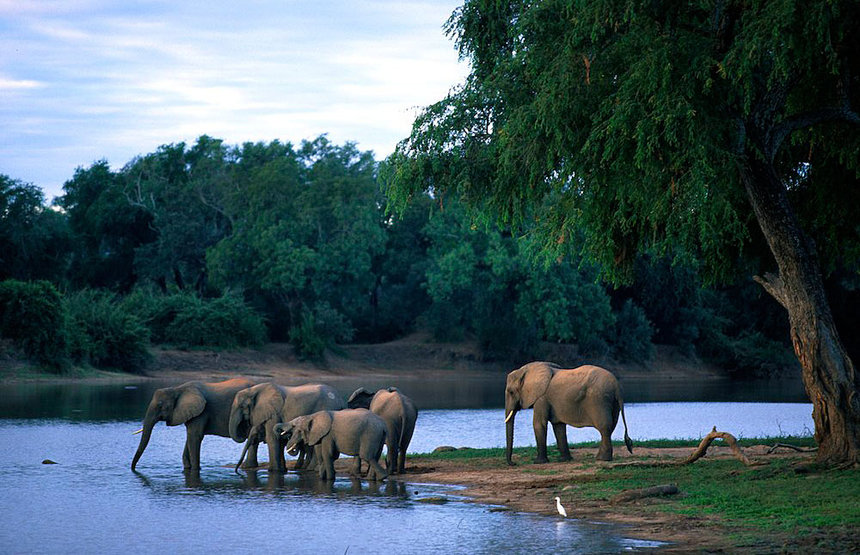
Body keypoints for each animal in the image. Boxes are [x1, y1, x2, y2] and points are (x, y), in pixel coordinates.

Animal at [127, 378, 255, 474]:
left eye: (160, 405)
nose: (133, 469)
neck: (178, 389)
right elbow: (189, 437)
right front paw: (187, 468)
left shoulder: (202, 412)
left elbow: (195, 436)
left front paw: (195, 469)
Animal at [504, 362, 632, 466]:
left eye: (511, 392)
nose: (513, 463)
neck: (526, 370)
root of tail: (617, 386)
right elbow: (559, 426)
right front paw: (564, 460)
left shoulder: (541, 397)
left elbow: (539, 424)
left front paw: (538, 462)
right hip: (612, 402)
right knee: (611, 426)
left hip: (599, 400)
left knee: (604, 427)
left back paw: (602, 459)